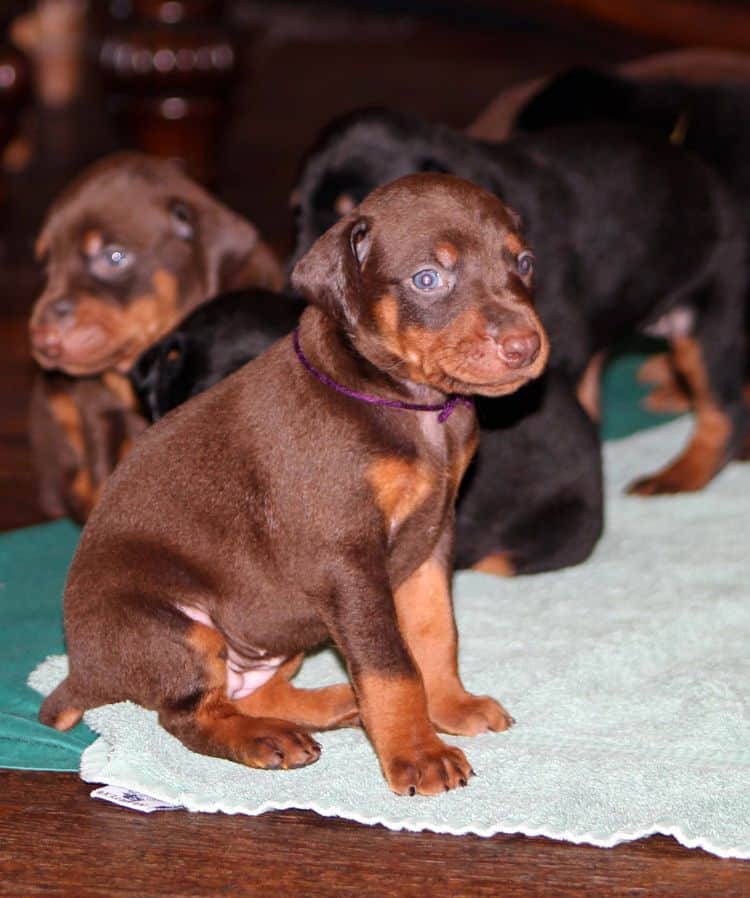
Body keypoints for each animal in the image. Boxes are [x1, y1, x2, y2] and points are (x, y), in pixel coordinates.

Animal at [39, 173, 548, 792]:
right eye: (428, 278)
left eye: (523, 262)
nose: (525, 346)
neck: (406, 403)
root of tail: (81, 673)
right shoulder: (348, 560)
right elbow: (390, 665)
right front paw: (418, 753)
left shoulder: (433, 536)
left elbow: (434, 631)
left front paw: (450, 706)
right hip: (175, 626)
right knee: (190, 715)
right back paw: (268, 738)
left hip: (278, 630)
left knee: (252, 694)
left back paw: (335, 704)